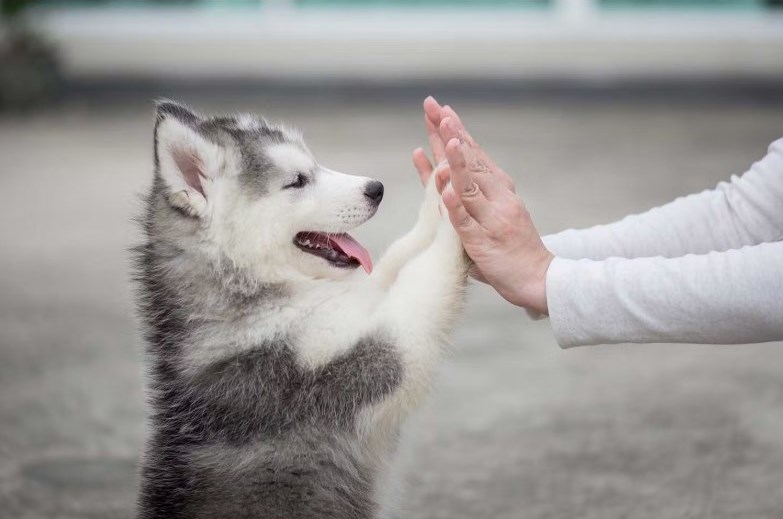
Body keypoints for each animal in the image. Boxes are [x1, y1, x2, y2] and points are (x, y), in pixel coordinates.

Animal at [133, 99, 472, 516]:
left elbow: (395, 259)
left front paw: (438, 192)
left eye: (315, 164)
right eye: (297, 180)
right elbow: (422, 281)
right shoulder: (359, 362)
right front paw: (458, 208)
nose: (375, 189)